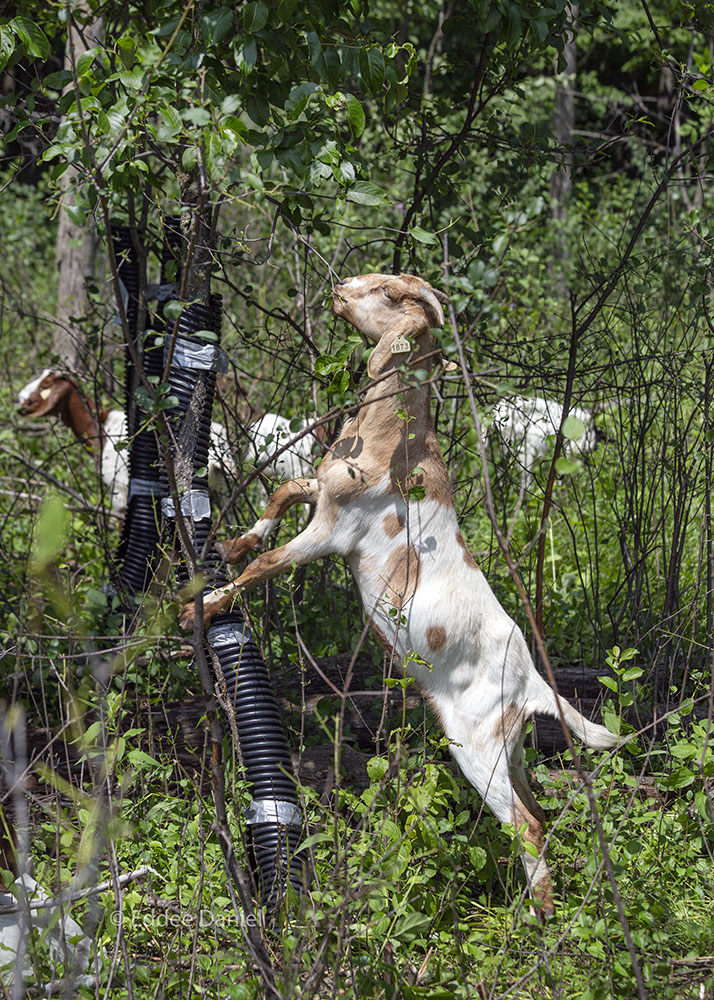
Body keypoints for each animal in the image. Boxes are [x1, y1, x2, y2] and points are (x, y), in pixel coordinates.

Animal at [179, 274, 616, 916]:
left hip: (477, 749)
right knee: (536, 807)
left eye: (388, 293)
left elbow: (269, 564)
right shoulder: (321, 491)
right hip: (508, 750)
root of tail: (532, 681)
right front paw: (235, 542)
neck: (392, 436)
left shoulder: (334, 531)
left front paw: (205, 604)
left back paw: (536, 922)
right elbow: (283, 492)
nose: (340, 288)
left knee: (527, 825)